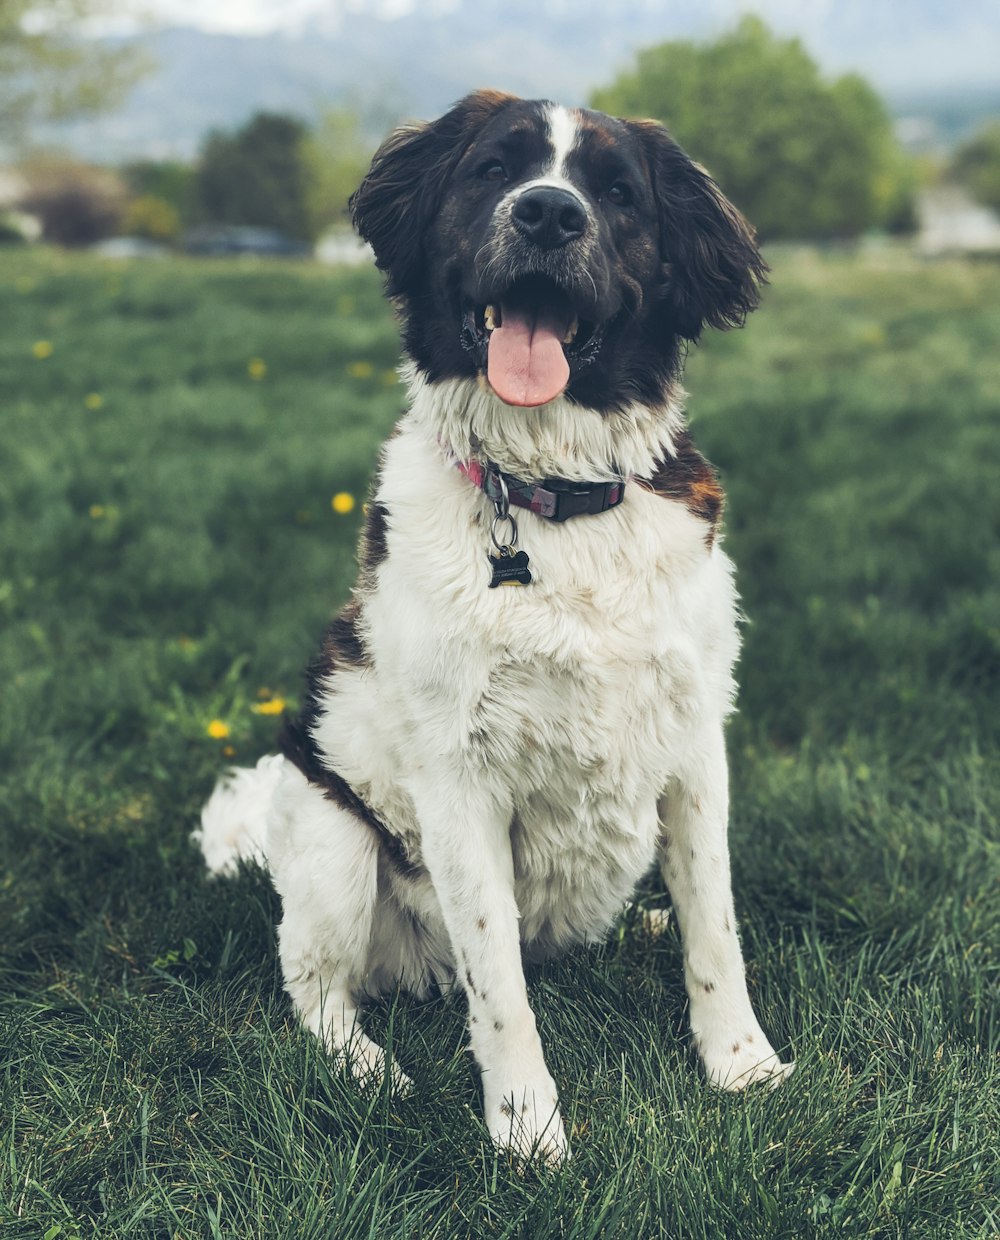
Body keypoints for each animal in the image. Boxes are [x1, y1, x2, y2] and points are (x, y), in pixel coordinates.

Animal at [196, 91, 794, 1165]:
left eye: (615, 192)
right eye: (494, 170)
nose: (549, 214)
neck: (554, 496)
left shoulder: (695, 745)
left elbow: (715, 929)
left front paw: (742, 1066)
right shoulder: (458, 779)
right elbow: (499, 984)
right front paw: (527, 1133)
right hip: (333, 841)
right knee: (317, 991)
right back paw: (367, 1068)